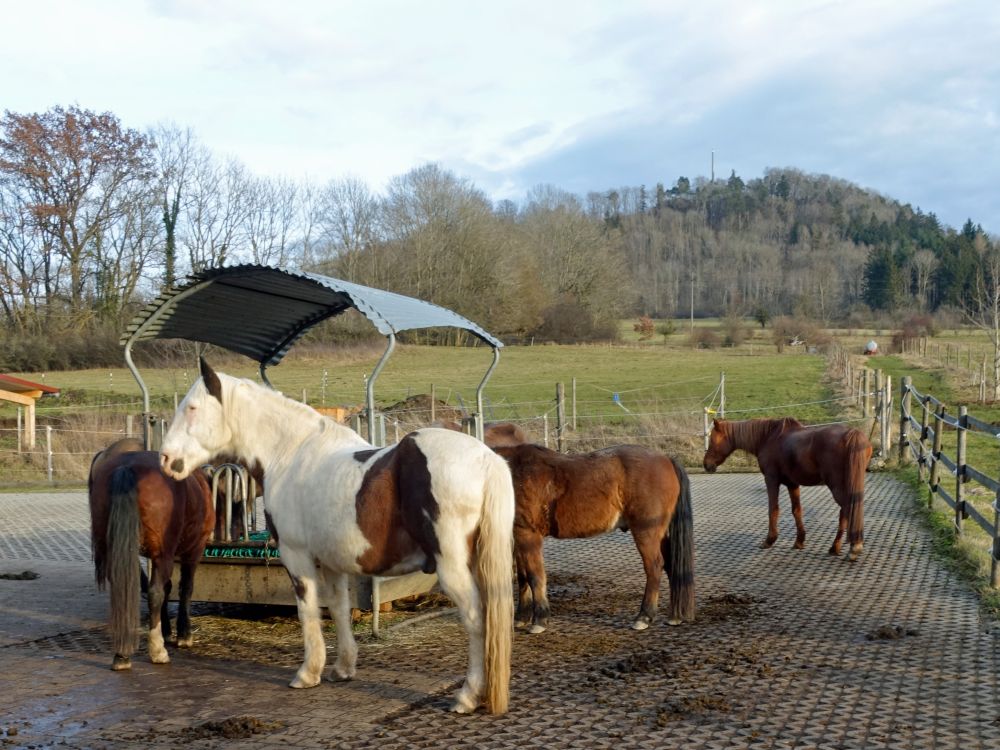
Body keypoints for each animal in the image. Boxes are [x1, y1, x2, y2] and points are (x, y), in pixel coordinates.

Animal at [89, 438, 215, 672]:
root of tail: (126, 467)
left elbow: (165, 587)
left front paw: (167, 630)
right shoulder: (192, 550)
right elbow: (185, 588)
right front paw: (183, 634)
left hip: (117, 551)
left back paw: (122, 654)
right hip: (166, 553)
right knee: (156, 592)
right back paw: (157, 650)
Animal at [161, 360, 516, 716]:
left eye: (192, 408)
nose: (165, 459)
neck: (289, 454)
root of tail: (486, 459)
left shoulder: (297, 556)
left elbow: (308, 611)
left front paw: (308, 673)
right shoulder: (332, 563)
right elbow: (339, 608)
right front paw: (342, 669)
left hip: (452, 567)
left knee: (476, 619)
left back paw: (467, 697)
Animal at [492, 444, 696, 636]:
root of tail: (666, 459)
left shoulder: (528, 535)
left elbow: (535, 576)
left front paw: (539, 620)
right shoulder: (517, 538)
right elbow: (523, 577)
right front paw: (522, 618)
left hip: (646, 532)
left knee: (654, 567)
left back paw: (644, 617)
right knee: (671, 565)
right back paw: (674, 616)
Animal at [704, 420, 868, 560]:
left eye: (712, 440)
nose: (706, 464)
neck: (767, 438)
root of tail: (852, 433)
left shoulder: (771, 480)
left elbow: (773, 509)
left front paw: (769, 540)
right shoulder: (792, 484)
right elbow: (797, 511)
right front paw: (799, 541)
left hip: (836, 486)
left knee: (847, 509)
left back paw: (848, 547)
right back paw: (840, 547)